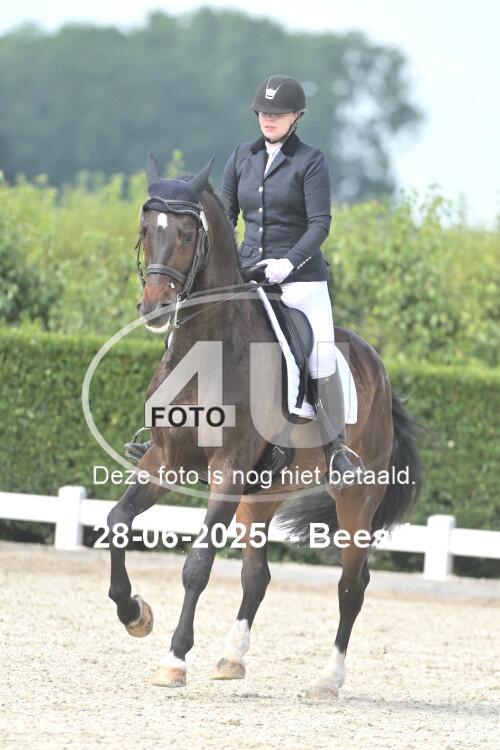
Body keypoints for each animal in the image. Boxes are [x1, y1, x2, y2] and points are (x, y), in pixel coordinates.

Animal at [106, 153, 422, 697]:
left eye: (187, 234)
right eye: (146, 230)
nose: (156, 307)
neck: (206, 349)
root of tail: (378, 368)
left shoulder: (228, 469)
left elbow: (197, 564)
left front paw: (174, 658)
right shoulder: (164, 461)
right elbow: (117, 524)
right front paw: (135, 614)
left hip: (355, 497)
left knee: (351, 584)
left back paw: (328, 679)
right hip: (262, 495)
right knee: (258, 576)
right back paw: (231, 658)